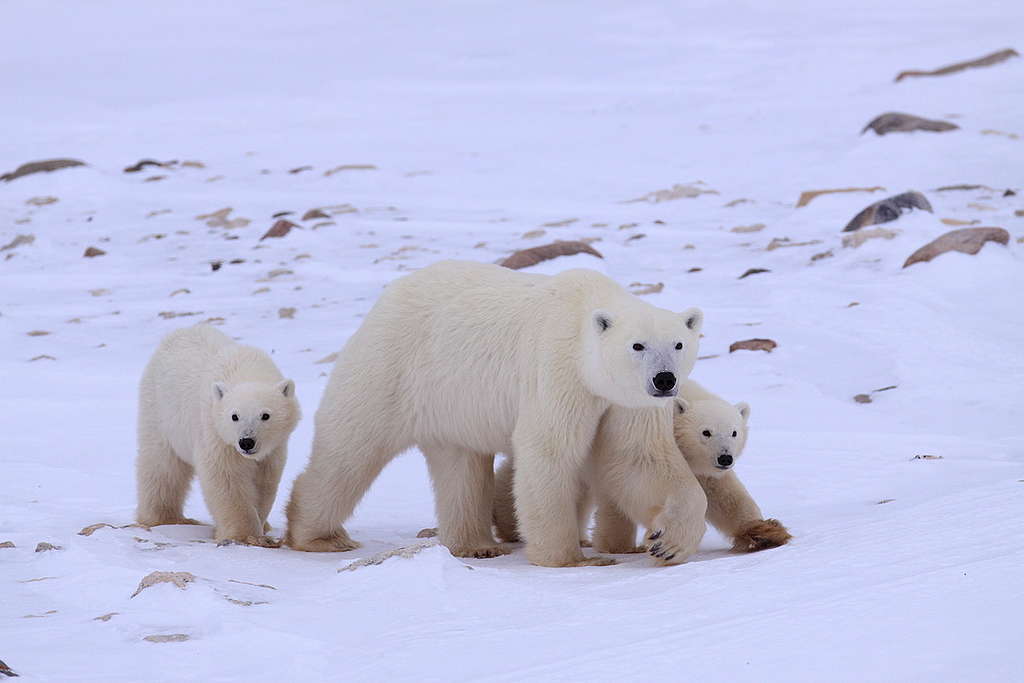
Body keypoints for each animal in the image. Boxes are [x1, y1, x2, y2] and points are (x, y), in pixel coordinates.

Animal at [284, 260, 708, 565]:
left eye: (678, 343)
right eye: (637, 345)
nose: (665, 379)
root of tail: (388, 296)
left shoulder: (626, 402)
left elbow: (638, 458)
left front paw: (668, 542)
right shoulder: (557, 372)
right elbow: (548, 452)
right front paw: (569, 559)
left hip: (452, 404)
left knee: (460, 465)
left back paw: (475, 544)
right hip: (391, 366)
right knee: (349, 450)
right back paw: (319, 536)